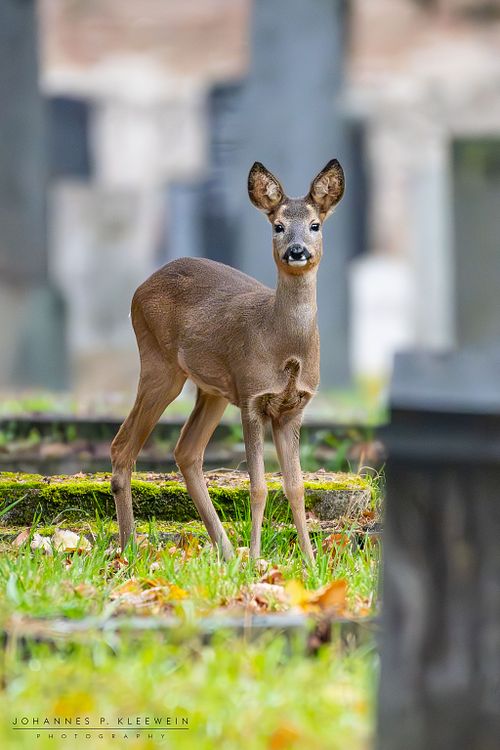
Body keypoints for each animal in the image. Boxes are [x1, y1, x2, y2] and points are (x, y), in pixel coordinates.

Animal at [110, 158, 345, 561]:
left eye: (316, 224)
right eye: (278, 225)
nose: (297, 250)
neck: (285, 347)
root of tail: (139, 289)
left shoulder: (293, 408)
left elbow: (296, 487)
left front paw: (311, 563)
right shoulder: (251, 396)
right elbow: (259, 486)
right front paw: (257, 559)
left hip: (212, 390)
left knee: (186, 451)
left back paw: (226, 552)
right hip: (159, 363)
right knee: (122, 447)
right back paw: (130, 552)